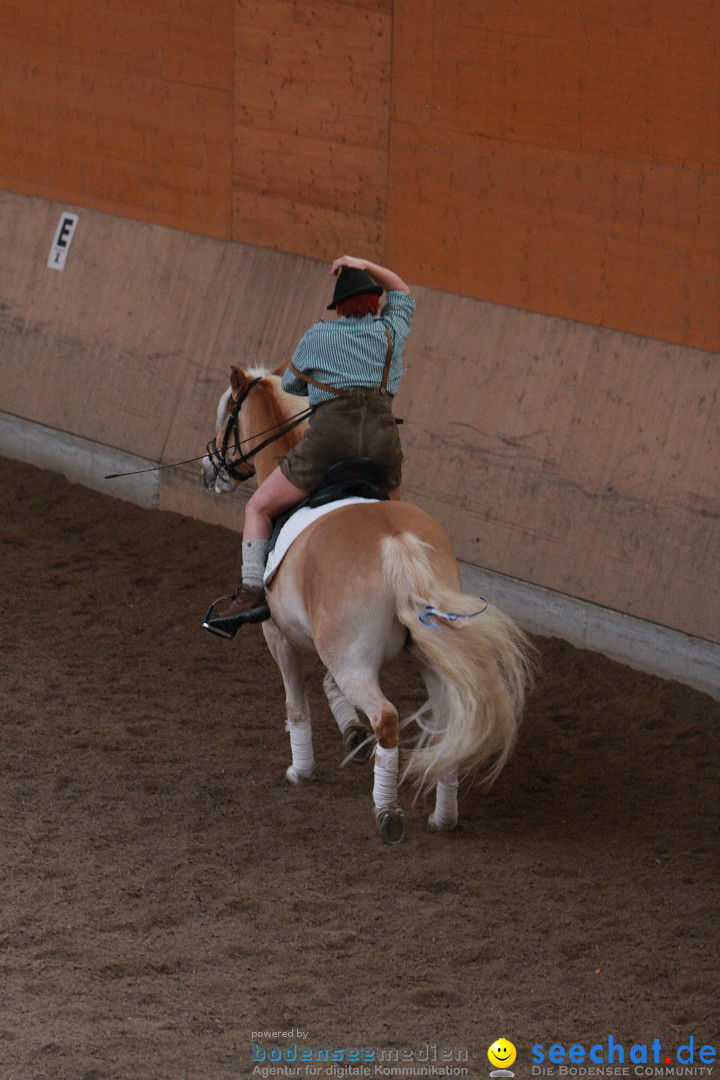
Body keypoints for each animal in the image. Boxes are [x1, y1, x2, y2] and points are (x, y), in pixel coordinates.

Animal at [199, 362, 533, 842]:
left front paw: (302, 770)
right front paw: (352, 735)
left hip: (352, 658)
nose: (209, 468)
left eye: (227, 411)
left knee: (387, 717)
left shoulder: (278, 634)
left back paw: (387, 812)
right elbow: (328, 685)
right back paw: (443, 816)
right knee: (450, 725)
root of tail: (396, 542)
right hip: (425, 656)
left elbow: (296, 703)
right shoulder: (338, 650)